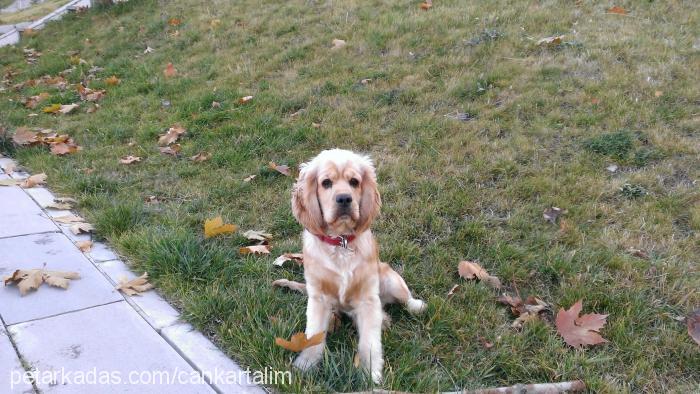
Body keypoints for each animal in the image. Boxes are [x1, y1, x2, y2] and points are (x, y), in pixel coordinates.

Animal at [288, 149, 424, 384]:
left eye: (354, 182)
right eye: (326, 183)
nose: (344, 198)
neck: (341, 242)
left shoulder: (368, 298)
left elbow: (370, 341)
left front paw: (371, 374)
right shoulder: (318, 297)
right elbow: (313, 335)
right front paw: (306, 364)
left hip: (391, 280)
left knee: (405, 299)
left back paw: (413, 307)